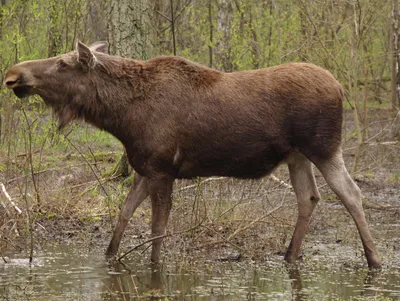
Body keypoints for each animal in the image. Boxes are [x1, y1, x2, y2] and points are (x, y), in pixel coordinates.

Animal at [4, 40, 382, 268]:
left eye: (62, 63)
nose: (12, 74)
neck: (122, 117)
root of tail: (341, 87)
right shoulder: (144, 167)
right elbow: (124, 214)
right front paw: (109, 259)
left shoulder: (162, 169)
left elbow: (157, 228)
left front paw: (154, 267)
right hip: (296, 156)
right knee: (309, 198)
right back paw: (290, 256)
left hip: (324, 147)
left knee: (351, 194)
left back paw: (374, 260)